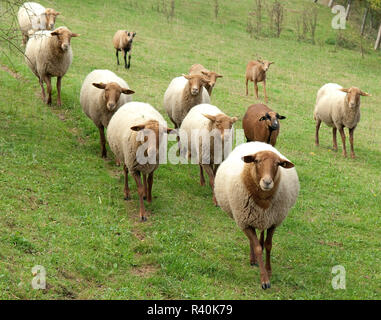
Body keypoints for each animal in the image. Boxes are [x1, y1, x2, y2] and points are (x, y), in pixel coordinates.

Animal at [214, 142, 300, 290]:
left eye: (278, 164)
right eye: (257, 161)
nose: (267, 182)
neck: (263, 201)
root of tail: (256, 143)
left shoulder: (273, 222)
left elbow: (268, 245)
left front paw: (269, 270)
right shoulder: (245, 222)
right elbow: (258, 248)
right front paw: (264, 280)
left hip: (263, 219)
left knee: (260, 235)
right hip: (249, 219)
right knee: (253, 241)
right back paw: (253, 259)